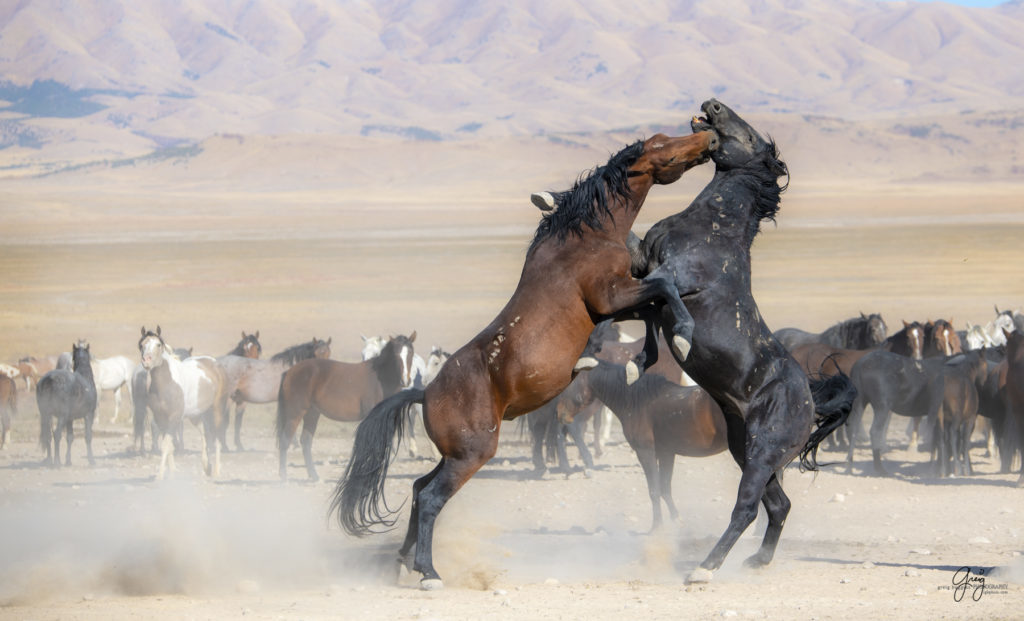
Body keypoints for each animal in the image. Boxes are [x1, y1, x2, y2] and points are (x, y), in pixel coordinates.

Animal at [278, 336, 413, 481]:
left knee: (306, 441)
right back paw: (283, 478)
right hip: (295, 414)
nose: (405, 381)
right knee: (285, 440)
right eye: (396, 354)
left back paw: (314, 476)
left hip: (312, 414)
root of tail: (289, 372)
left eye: (410, 353)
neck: (381, 378)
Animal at [561, 362, 729, 532]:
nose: (561, 414)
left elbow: (654, 490)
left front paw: (657, 527)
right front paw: (676, 520)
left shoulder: (645, 452)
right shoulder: (666, 452)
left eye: (570, 383)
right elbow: (665, 488)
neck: (636, 401)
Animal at [622, 99, 856, 586]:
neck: (713, 229)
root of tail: (810, 402)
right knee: (780, 505)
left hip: (762, 454)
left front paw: (680, 341)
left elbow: (660, 300)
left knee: (747, 509)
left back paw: (704, 570)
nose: (711, 105)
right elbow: (642, 304)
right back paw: (757, 561)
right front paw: (639, 361)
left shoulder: (671, 278)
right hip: (746, 451)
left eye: (748, 137)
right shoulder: (645, 265)